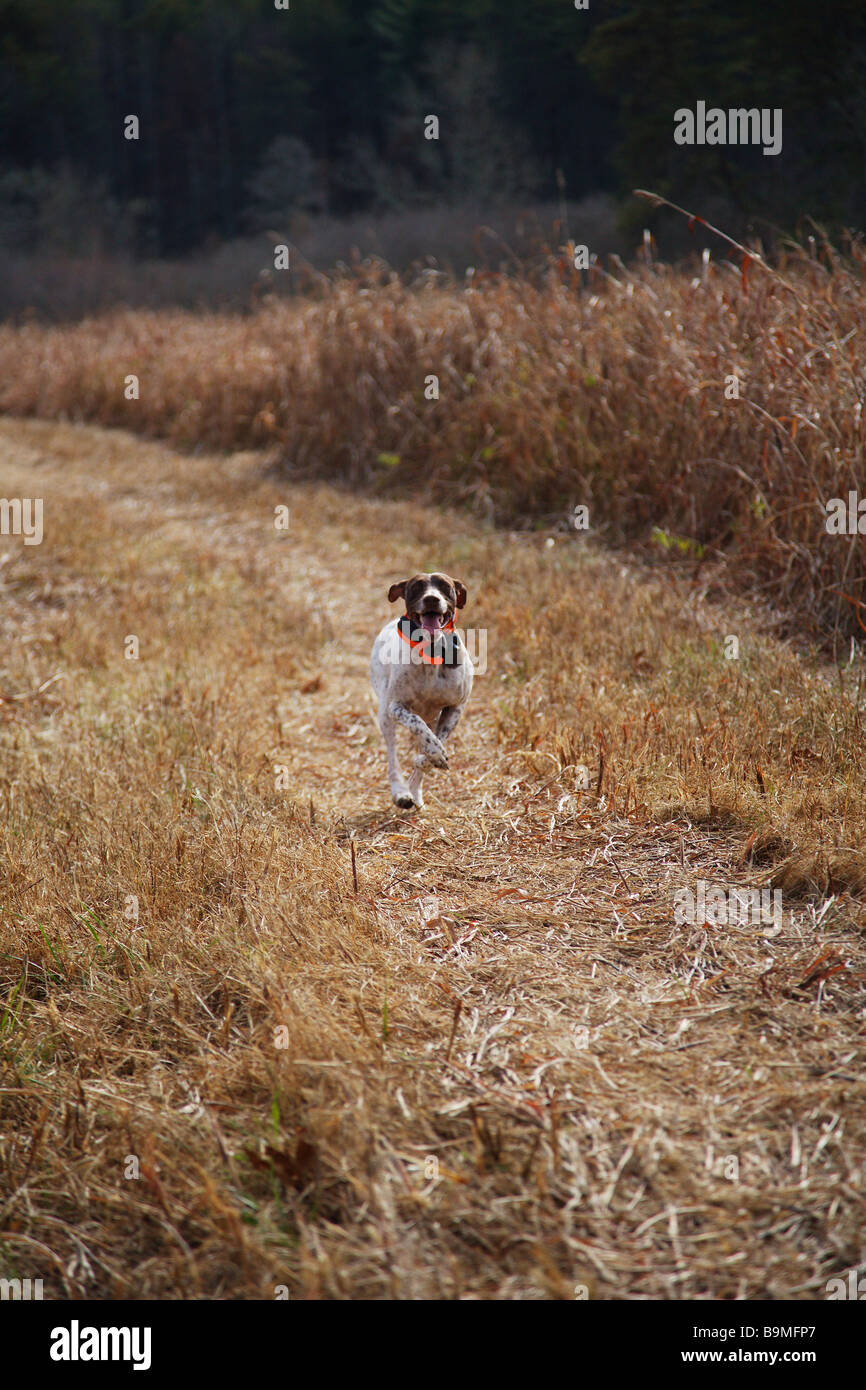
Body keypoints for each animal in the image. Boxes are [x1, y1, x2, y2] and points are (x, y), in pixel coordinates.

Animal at [369, 569, 469, 811]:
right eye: (417, 587)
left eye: (445, 586)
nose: (432, 598)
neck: (431, 651)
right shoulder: (396, 707)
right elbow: (418, 725)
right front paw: (434, 754)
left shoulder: (456, 708)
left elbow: (436, 741)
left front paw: (428, 758)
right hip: (385, 714)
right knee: (392, 756)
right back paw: (401, 792)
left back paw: (415, 791)